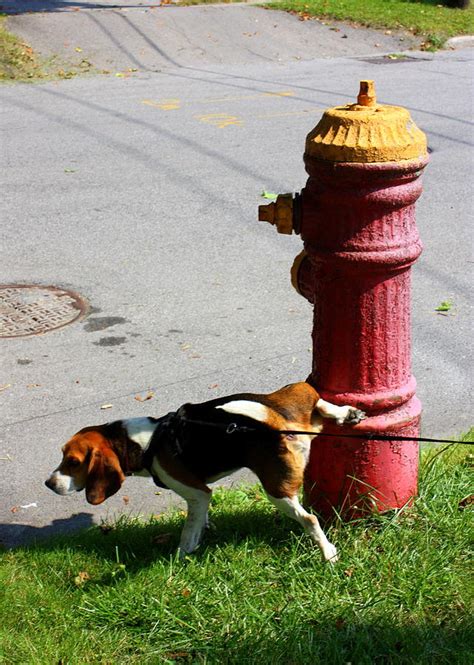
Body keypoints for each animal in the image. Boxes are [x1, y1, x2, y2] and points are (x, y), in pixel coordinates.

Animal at [46, 384, 364, 560]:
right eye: (62, 456)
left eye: (72, 462)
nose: (49, 484)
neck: (147, 441)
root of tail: (273, 422)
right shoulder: (201, 497)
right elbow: (200, 520)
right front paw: (205, 530)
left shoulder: (197, 493)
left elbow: (188, 531)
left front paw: (178, 557)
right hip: (290, 399)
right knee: (313, 397)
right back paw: (346, 413)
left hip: (277, 490)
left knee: (310, 519)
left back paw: (327, 553)